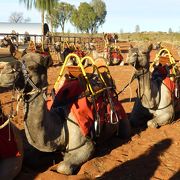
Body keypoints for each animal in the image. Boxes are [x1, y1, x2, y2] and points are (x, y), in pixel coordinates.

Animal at [0, 52, 130, 174]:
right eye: (19, 59)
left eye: (33, 67)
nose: (5, 71)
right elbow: (31, 159)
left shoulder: (86, 144)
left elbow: (64, 167)